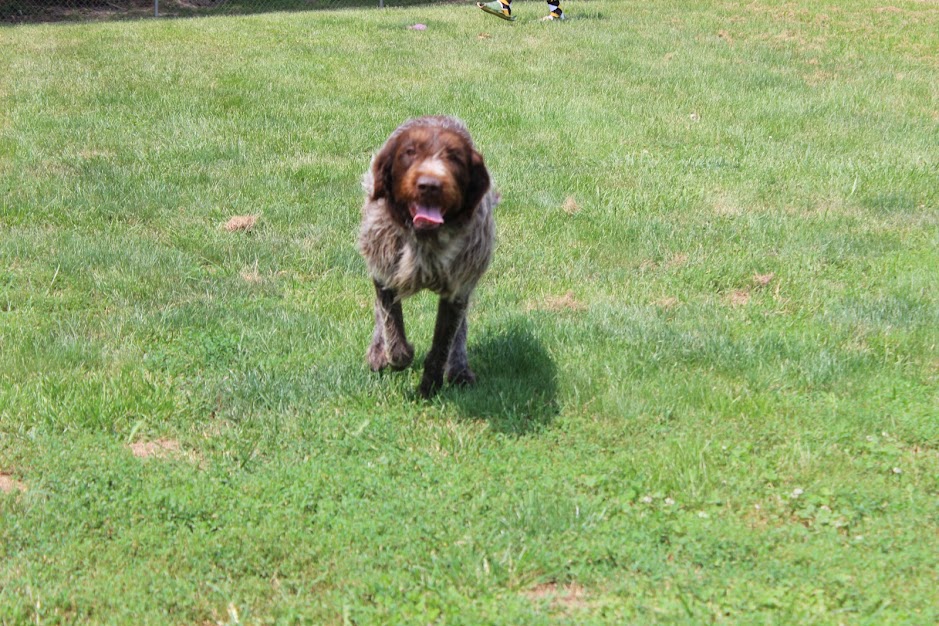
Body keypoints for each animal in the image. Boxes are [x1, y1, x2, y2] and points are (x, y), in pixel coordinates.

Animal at [358, 116, 498, 398]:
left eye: (455, 157)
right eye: (409, 152)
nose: (430, 186)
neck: (425, 239)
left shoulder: (458, 290)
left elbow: (443, 344)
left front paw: (430, 385)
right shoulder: (384, 270)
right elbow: (390, 324)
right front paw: (395, 353)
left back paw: (459, 367)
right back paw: (378, 352)